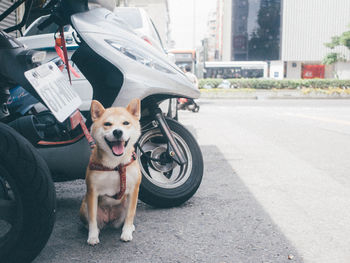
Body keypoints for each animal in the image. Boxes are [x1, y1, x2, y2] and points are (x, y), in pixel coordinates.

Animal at [80, 99, 142, 245]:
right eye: (107, 124)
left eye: (126, 123)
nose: (117, 132)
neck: (116, 164)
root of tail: (108, 219)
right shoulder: (92, 192)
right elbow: (92, 219)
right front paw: (92, 236)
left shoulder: (133, 190)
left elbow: (130, 215)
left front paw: (126, 232)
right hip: (84, 205)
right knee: (92, 221)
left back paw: (130, 227)